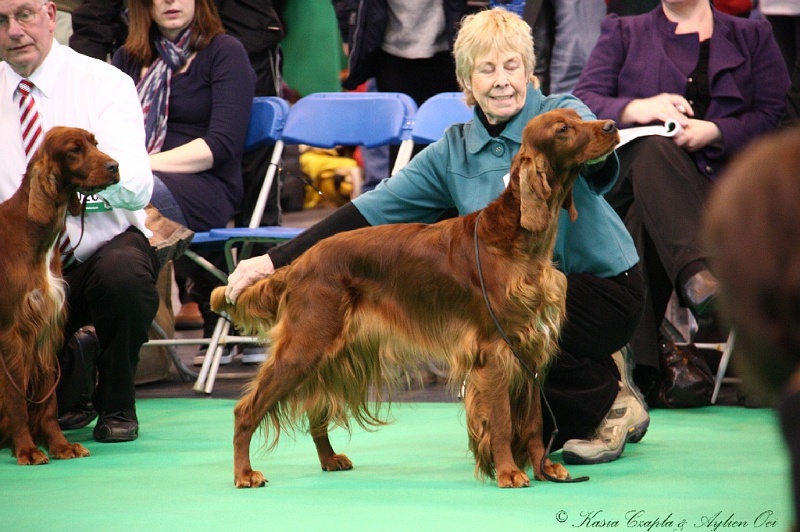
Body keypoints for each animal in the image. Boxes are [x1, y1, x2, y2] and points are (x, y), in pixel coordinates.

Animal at [0, 127, 120, 464]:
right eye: (74, 149)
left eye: (95, 143)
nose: (115, 166)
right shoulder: (12, 332)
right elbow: (16, 400)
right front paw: (27, 449)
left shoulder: (46, 328)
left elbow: (48, 402)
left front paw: (60, 445)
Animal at [211, 109, 620, 490]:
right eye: (563, 129)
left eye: (577, 116)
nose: (612, 126)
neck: (516, 240)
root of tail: (299, 263)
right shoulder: (496, 350)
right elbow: (503, 420)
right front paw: (508, 472)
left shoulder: (531, 349)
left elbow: (534, 421)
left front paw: (544, 468)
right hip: (305, 345)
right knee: (245, 411)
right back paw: (244, 473)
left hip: (333, 353)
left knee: (317, 406)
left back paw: (328, 458)